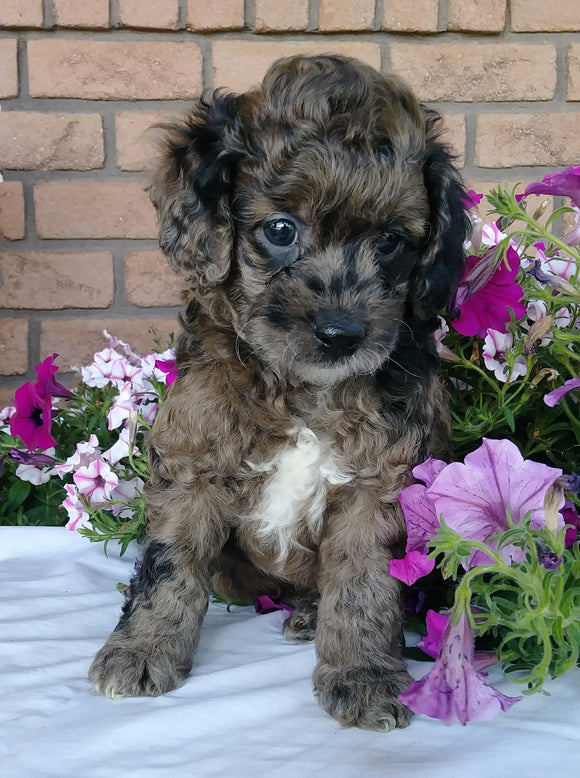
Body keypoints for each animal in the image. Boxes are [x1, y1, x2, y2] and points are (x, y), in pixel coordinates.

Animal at [90, 53, 472, 728]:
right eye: (281, 229)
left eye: (392, 242)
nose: (340, 334)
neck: (301, 391)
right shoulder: (194, 459)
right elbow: (168, 564)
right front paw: (140, 651)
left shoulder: (379, 482)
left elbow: (365, 584)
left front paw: (365, 675)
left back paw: (313, 616)